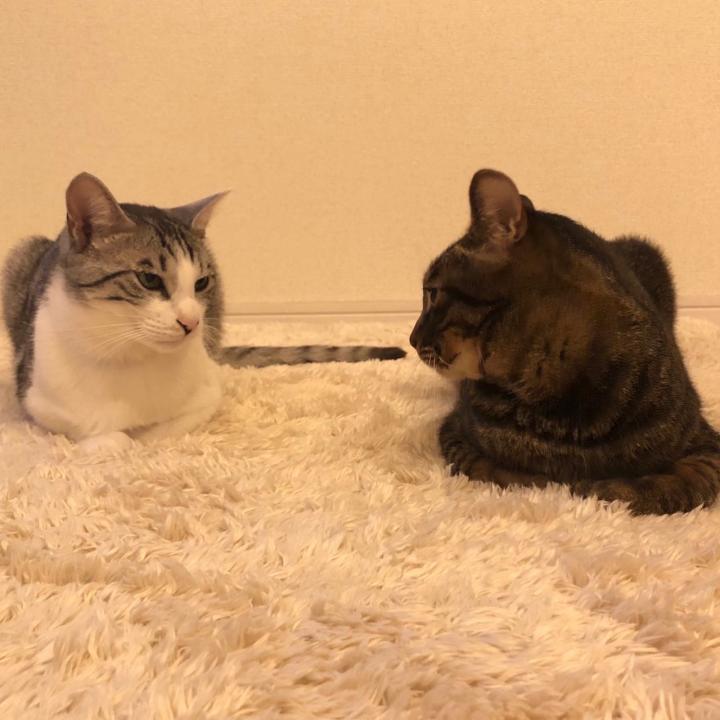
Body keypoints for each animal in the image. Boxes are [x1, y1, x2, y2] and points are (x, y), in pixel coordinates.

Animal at [2, 172, 405, 452]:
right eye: (149, 279)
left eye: (201, 282)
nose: (192, 322)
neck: (130, 357)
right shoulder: (37, 401)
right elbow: (102, 434)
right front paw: (113, 440)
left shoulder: (207, 393)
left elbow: (158, 433)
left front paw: (142, 439)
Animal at [410, 168, 720, 515]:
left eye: (432, 293)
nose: (411, 338)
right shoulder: (457, 434)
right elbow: (509, 473)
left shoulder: (704, 446)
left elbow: (667, 487)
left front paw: (598, 486)